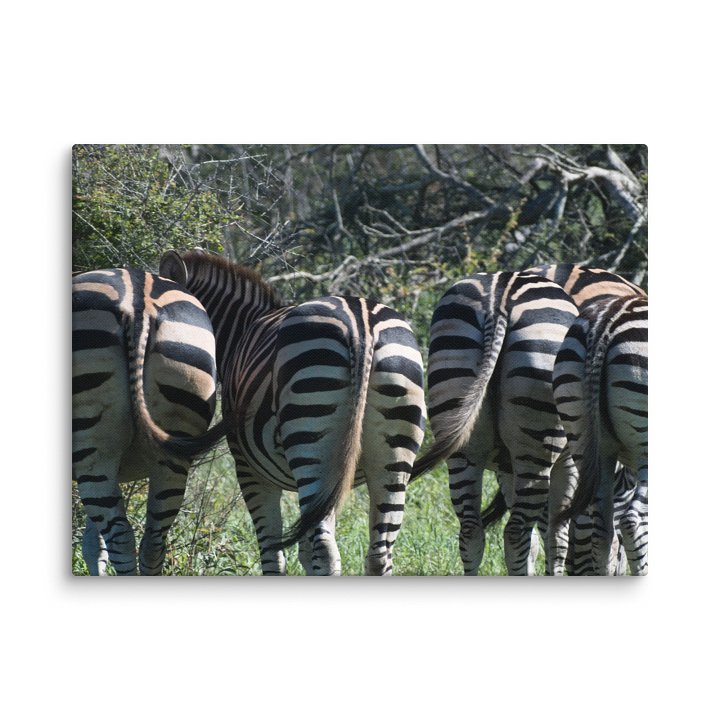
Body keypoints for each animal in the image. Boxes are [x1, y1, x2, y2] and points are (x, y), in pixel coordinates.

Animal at [72, 268, 224, 575]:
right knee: (153, 542)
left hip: (93, 453)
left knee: (120, 538)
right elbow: (94, 545)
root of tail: (138, 299)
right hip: (173, 449)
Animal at [158, 249, 427, 576]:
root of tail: (361, 323)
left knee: (326, 551)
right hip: (393, 447)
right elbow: (305, 552)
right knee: (378, 553)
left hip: (311, 440)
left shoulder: (249, 469)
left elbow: (273, 555)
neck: (240, 329)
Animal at [410, 270, 579, 575]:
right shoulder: (567, 461)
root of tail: (500, 296)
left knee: (470, 532)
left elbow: (539, 540)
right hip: (535, 450)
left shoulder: (506, 468)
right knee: (515, 532)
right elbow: (557, 536)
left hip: (463, 444)